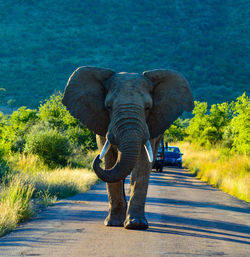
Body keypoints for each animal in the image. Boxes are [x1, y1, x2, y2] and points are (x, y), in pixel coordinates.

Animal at [61, 65, 194, 228]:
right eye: (108, 107)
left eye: (148, 107)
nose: (96, 158)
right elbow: (110, 160)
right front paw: (112, 223)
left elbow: (142, 164)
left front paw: (136, 224)